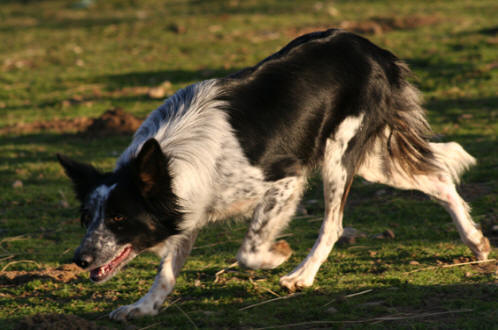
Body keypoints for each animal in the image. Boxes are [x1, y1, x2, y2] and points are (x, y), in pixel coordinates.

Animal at [57, 29, 490, 320]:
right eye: (86, 218)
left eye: (118, 218)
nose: (80, 259)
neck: (170, 158)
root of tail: (371, 47)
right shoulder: (189, 207)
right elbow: (167, 268)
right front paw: (145, 306)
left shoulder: (286, 179)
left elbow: (248, 251)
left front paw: (278, 255)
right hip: (368, 158)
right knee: (439, 180)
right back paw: (475, 241)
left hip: (339, 155)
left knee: (333, 224)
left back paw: (302, 276)